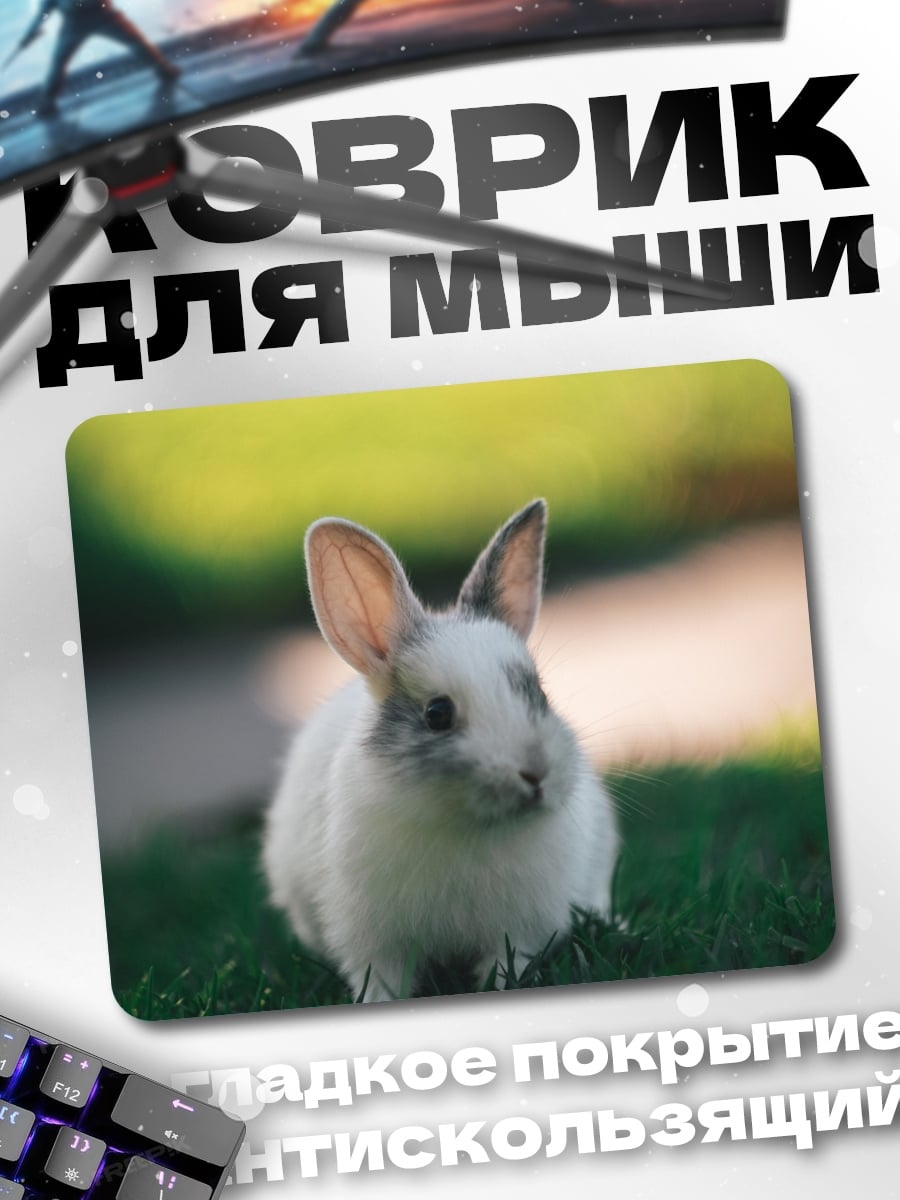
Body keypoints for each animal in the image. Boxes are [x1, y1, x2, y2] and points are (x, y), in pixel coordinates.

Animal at [262, 499, 618, 1002]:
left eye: (540, 694)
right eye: (437, 714)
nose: (536, 774)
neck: (468, 827)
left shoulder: (518, 931)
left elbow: (506, 965)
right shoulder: (374, 941)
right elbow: (380, 980)